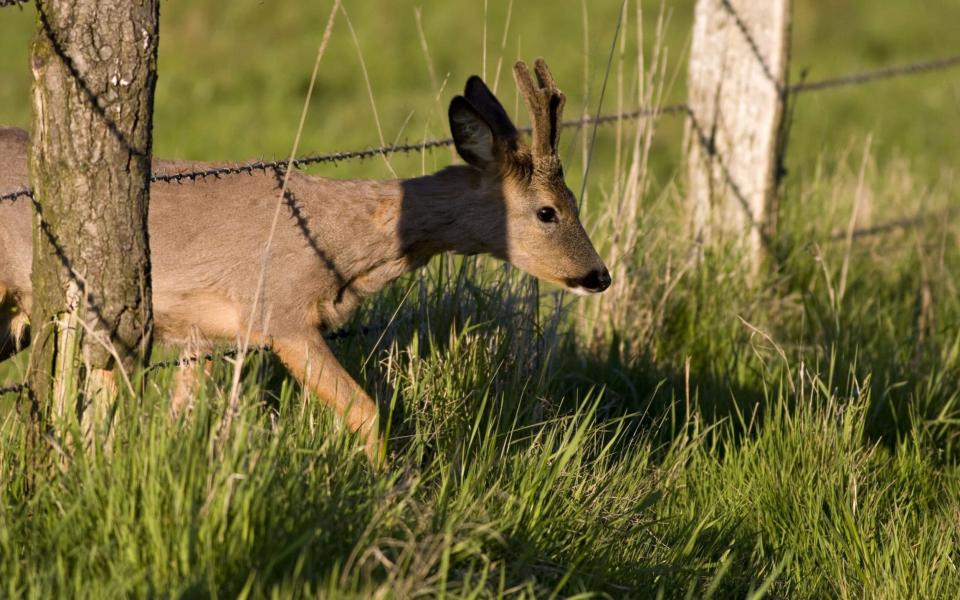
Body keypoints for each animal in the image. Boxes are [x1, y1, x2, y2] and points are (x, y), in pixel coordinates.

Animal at [0, 59, 612, 460]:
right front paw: (385, 492)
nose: (598, 275)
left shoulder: (207, 334)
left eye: (574, 201)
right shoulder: (280, 310)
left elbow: (182, 422)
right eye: (548, 211)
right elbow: (366, 411)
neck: (344, 247)